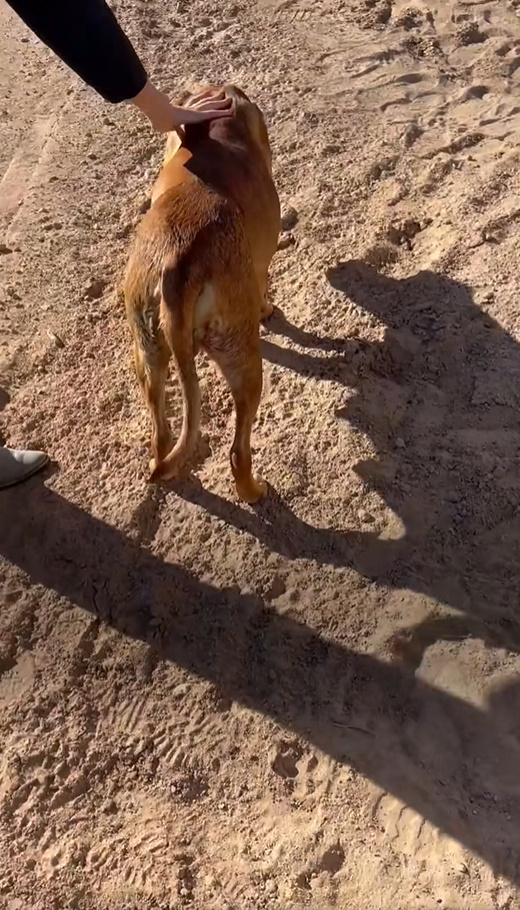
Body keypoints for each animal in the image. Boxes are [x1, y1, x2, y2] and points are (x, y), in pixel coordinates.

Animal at [125, 83, 280, 506]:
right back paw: (253, 492)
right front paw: (267, 310)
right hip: (242, 359)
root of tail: (177, 259)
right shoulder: (258, 270)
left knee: (160, 436)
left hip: (147, 352)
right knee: (238, 451)